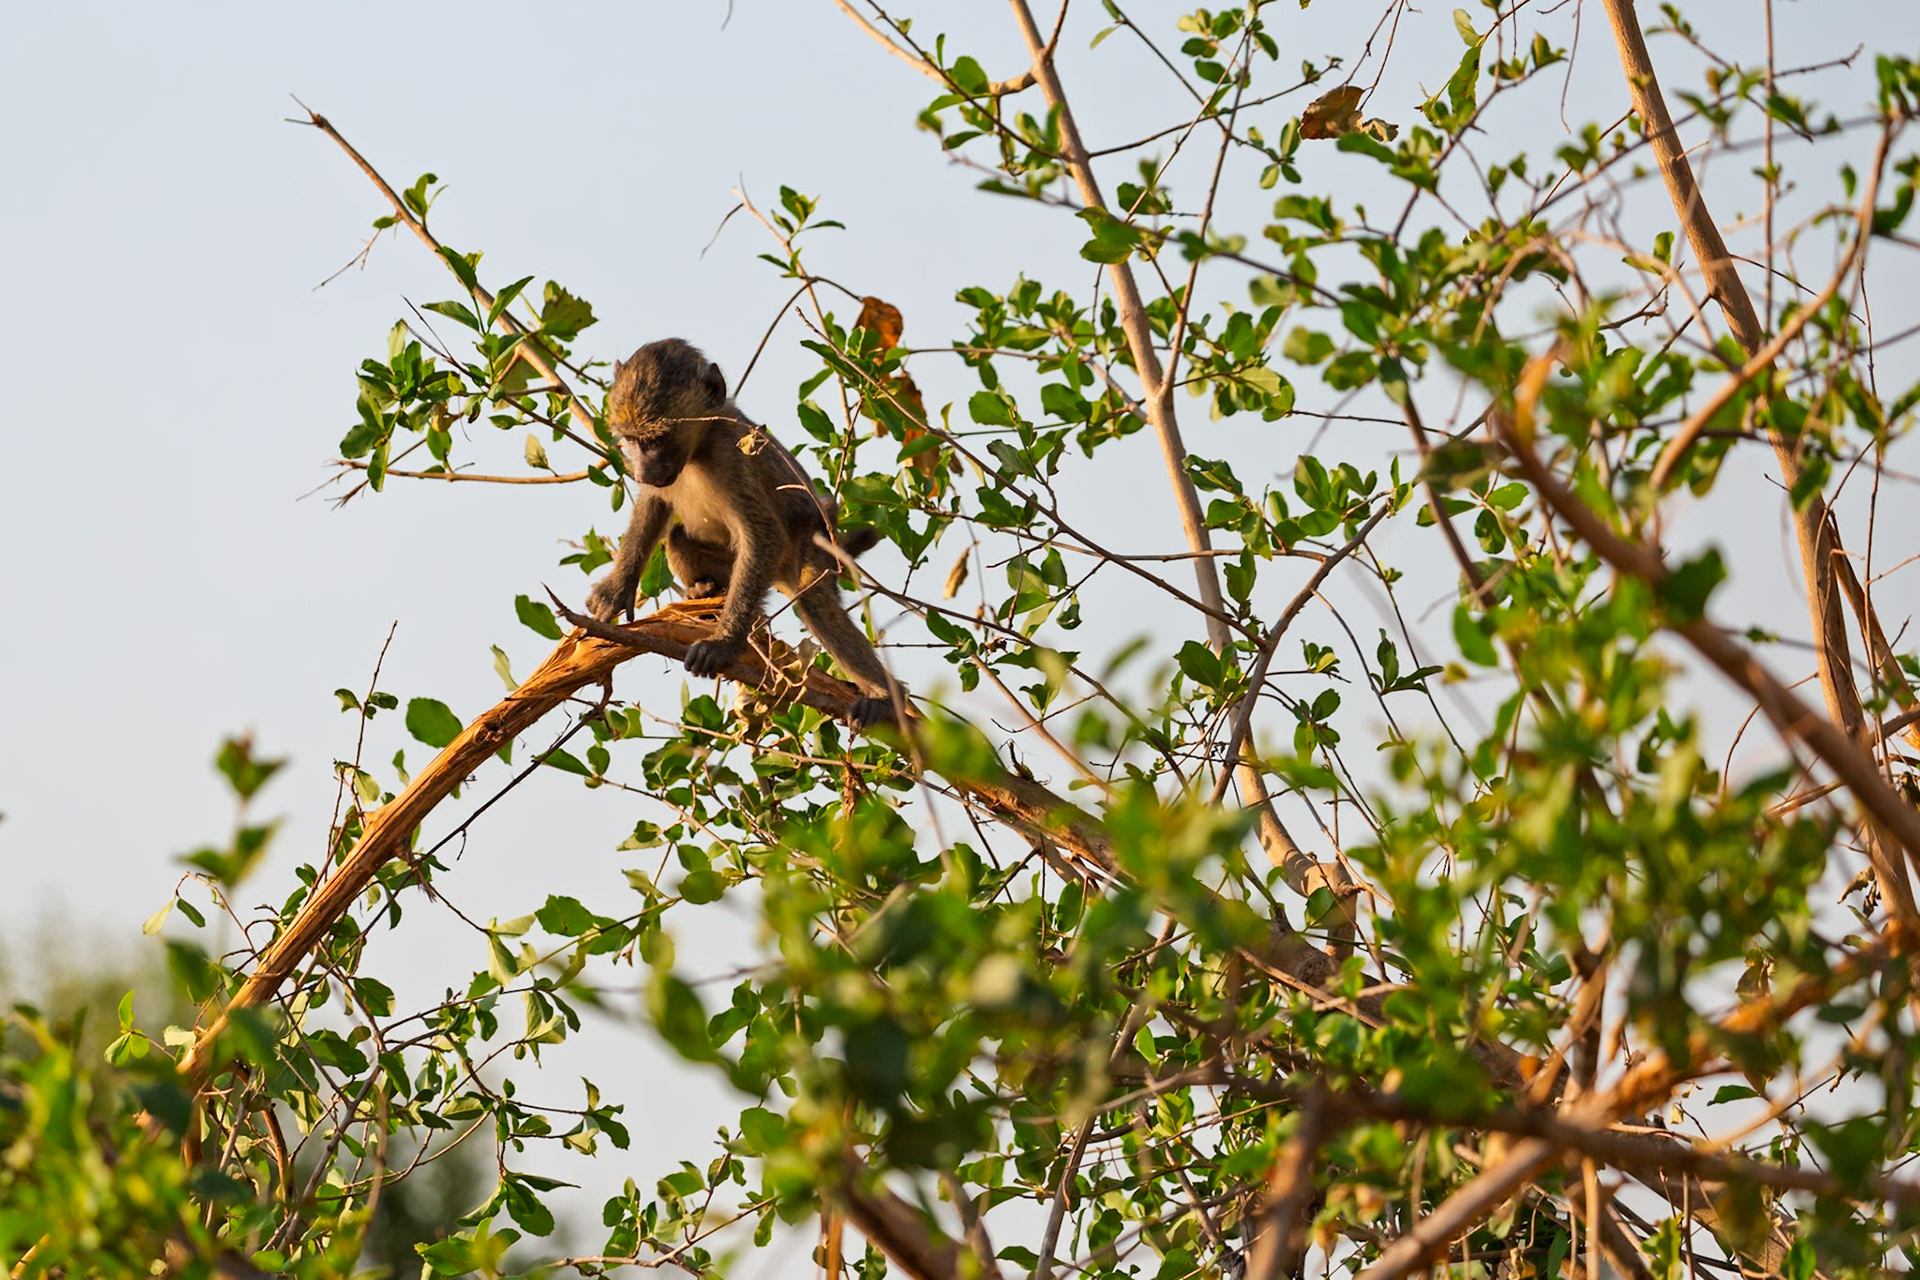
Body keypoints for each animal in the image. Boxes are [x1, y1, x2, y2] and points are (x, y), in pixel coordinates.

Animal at [585, 338, 903, 728]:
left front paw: (723, 646)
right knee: (678, 538)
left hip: (810, 549)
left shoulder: (736, 458)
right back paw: (705, 590)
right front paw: (616, 590)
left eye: (657, 438)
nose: (642, 471)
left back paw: (886, 699)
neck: (699, 448)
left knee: (817, 605)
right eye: (631, 440)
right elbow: (654, 506)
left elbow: (763, 534)